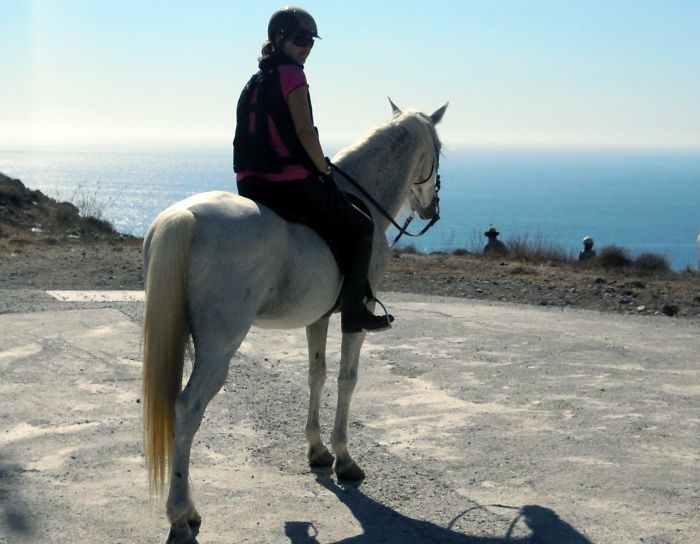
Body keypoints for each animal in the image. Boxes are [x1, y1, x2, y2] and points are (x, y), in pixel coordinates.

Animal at [143, 100, 448, 540]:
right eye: (439, 151)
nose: (432, 209)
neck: (363, 199)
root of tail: (187, 216)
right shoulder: (355, 319)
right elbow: (347, 379)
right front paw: (344, 458)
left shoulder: (317, 319)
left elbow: (316, 375)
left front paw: (317, 450)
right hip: (219, 348)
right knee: (187, 410)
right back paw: (181, 516)